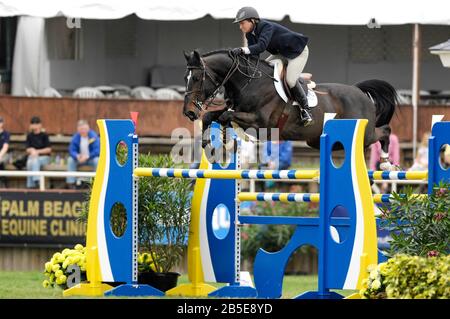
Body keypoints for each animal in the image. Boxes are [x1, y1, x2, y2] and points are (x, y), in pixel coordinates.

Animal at [181, 48, 400, 169]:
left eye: (198, 78)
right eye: (186, 78)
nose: (189, 112)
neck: (248, 82)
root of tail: (359, 91)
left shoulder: (261, 123)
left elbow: (225, 116)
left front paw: (223, 140)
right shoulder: (235, 109)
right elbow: (210, 117)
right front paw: (209, 143)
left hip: (366, 132)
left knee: (384, 131)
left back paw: (386, 162)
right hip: (317, 141)